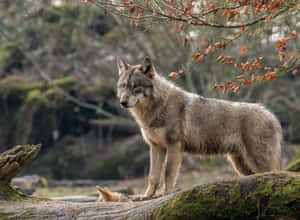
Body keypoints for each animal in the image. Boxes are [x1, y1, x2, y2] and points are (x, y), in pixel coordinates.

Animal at [115, 56, 282, 198]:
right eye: (123, 86)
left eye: (135, 87)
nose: (122, 102)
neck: (155, 108)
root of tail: (271, 116)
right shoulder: (156, 147)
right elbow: (153, 176)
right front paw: (147, 196)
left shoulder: (174, 145)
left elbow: (168, 173)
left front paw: (165, 194)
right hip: (242, 165)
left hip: (256, 162)